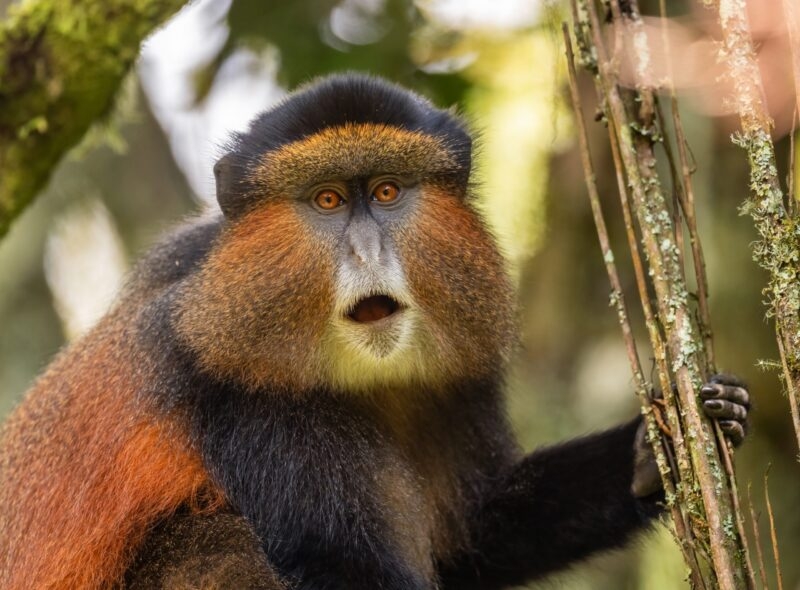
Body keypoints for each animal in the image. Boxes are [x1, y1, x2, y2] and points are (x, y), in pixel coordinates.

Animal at [0, 74, 750, 590]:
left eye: (387, 191)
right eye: (328, 200)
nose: (365, 252)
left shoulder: (461, 375)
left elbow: (477, 534)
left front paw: (659, 447)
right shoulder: (240, 393)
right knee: (215, 541)